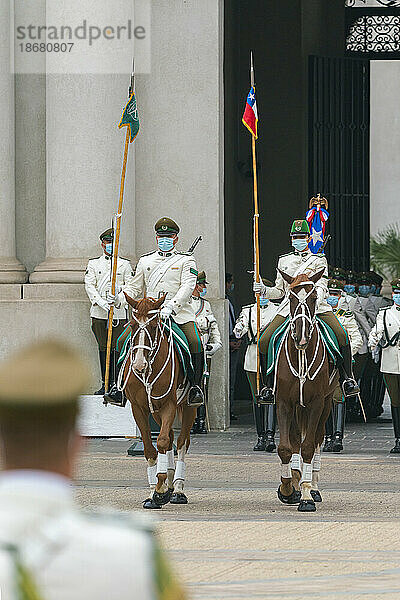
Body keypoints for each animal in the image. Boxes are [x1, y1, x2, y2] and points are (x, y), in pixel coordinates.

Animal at [121, 292, 198, 508]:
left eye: (155, 325)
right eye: (132, 325)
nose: (139, 364)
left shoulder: (169, 405)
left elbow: (162, 441)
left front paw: (160, 487)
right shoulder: (139, 408)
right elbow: (149, 448)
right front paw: (154, 492)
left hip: (188, 407)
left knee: (181, 442)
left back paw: (178, 489)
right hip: (155, 412)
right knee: (172, 437)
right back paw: (171, 484)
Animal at [274, 270, 340, 510]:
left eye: (313, 298)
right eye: (291, 298)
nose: (301, 337)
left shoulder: (316, 403)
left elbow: (309, 447)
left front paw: (305, 495)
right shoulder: (283, 402)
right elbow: (286, 447)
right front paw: (287, 489)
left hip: (327, 404)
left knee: (317, 438)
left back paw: (313, 487)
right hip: (296, 408)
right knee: (295, 441)